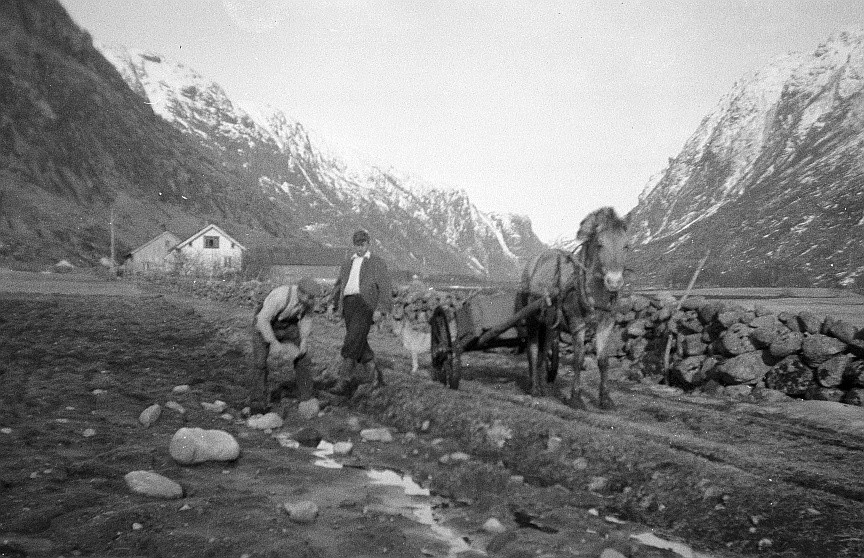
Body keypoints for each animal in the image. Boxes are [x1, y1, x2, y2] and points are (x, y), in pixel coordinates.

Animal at [512, 208, 628, 410]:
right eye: (600, 244)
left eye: (626, 246)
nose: (614, 282)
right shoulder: (577, 323)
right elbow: (578, 359)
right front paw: (576, 397)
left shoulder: (607, 324)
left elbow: (604, 361)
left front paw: (605, 399)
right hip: (533, 317)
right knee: (532, 349)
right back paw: (534, 387)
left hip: (550, 324)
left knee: (544, 350)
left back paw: (543, 386)